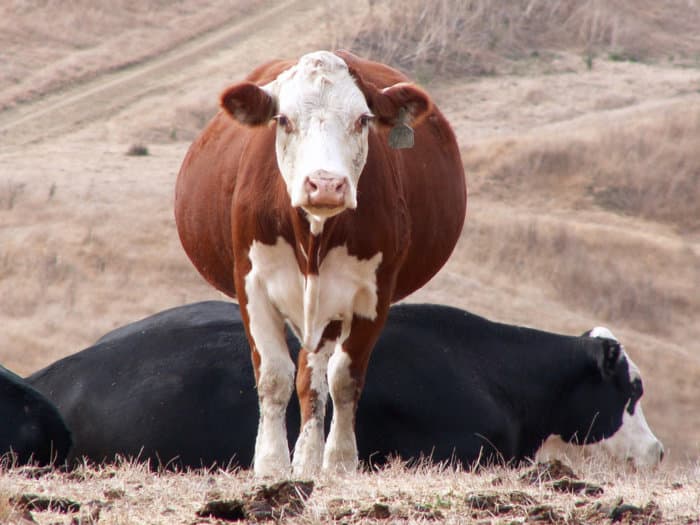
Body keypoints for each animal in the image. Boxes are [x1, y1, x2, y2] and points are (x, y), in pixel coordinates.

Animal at [174, 51, 468, 476]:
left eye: (362, 119)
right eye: (283, 119)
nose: (326, 184)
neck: (312, 235)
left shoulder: (372, 294)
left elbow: (343, 378)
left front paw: (338, 462)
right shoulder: (252, 284)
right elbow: (274, 376)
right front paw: (271, 464)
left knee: (315, 377)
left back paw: (310, 460)